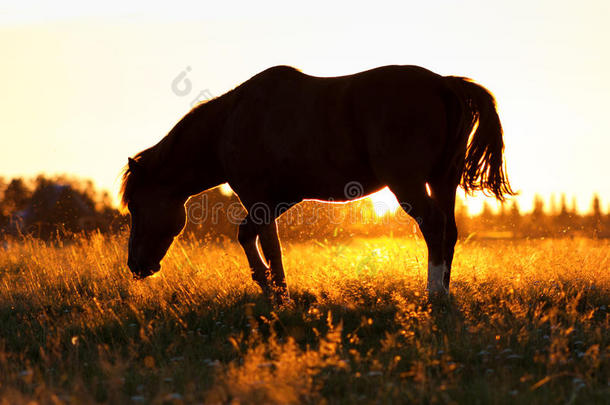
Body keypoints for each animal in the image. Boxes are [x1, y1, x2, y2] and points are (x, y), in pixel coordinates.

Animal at [120, 64, 512, 302]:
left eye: (136, 206)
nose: (136, 265)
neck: (229, 124)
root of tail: (443, 84)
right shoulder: (278, 200)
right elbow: (256, 239)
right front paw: (271, 287)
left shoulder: (257, 197)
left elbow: (264, 243)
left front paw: (278, 293)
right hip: (443, 180)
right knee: (449, 230)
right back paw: (445, 290)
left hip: (408, 183)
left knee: (432, 224)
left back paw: (434, 292)